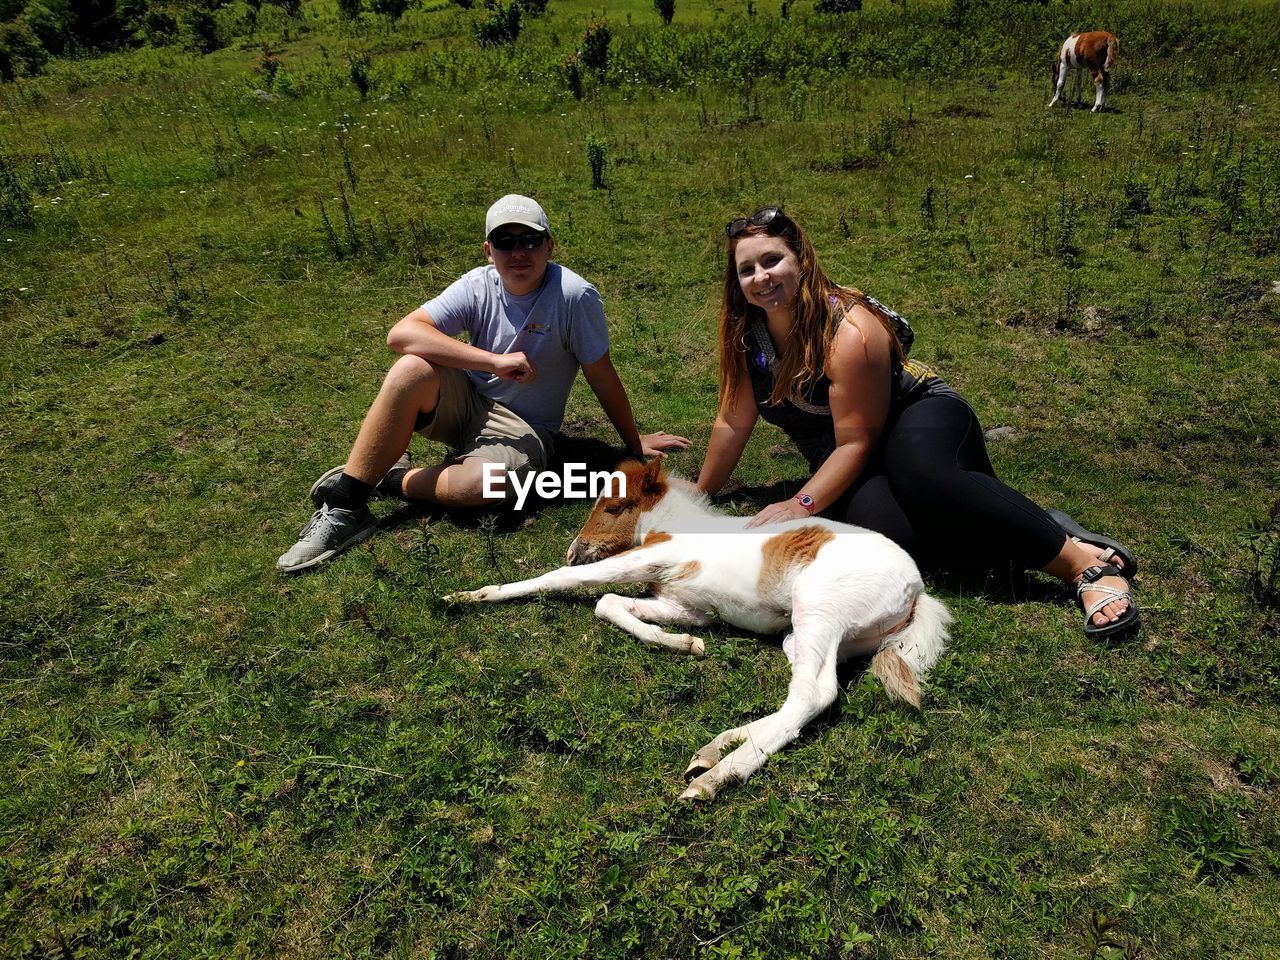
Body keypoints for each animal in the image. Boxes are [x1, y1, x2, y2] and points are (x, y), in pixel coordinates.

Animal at [442, 463, 952, 798]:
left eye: (615, 506)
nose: (575, 548)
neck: (679, 527)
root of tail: (916, 588)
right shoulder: (685, 603)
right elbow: (610, 605)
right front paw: (683, 645)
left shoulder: (648, 558)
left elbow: (566, 581)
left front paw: (472, 595)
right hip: (808, 634)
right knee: (801, 688)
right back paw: (715, 748)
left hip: (820, 608)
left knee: (815, 693)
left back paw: (718, 775)